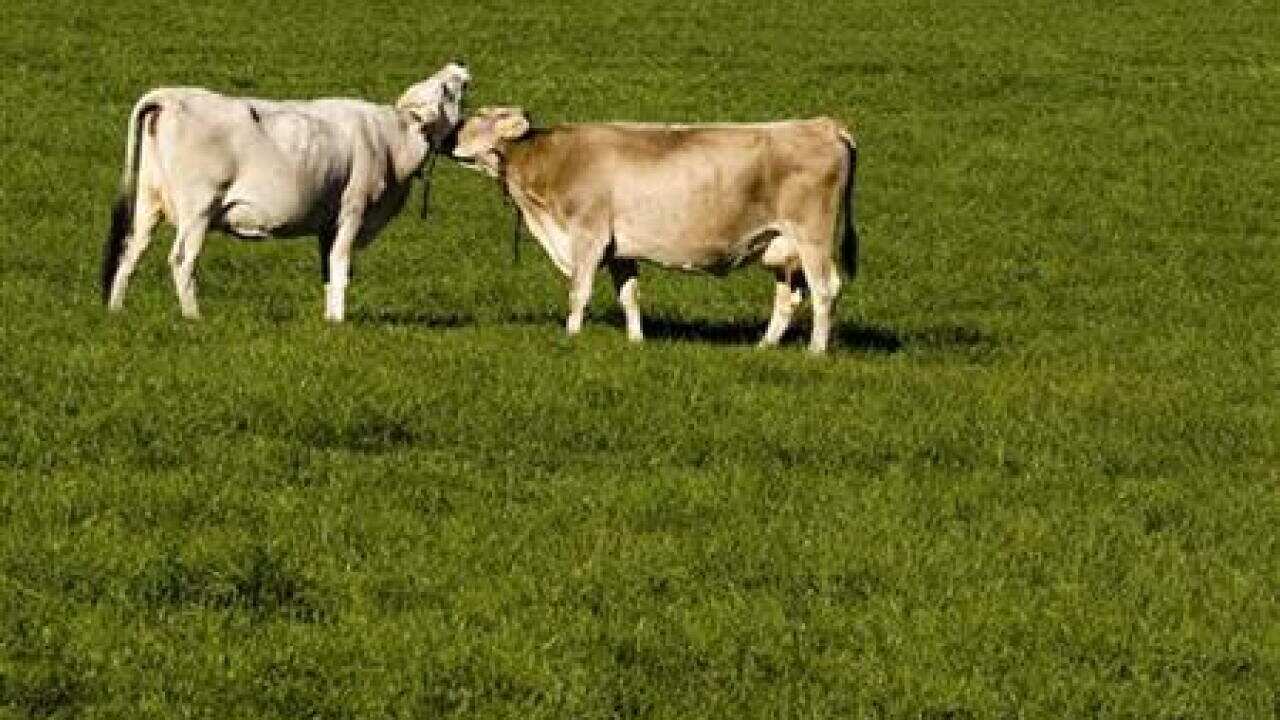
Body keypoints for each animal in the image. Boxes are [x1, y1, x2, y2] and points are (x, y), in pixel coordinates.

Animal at [102, 62, 471, 321]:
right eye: (445, 89)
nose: (460, 66)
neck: (391, 140)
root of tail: (170, 96)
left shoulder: (328, 223)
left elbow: (328, 268)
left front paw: (329, 318)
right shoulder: (353, 211)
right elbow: (341, 265)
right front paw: (339, 321)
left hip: (148, 203)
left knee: (130, 250)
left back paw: (116, 310)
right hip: (198, 210)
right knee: (181, 260)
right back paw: (194, 318)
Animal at [449, 107, 858, 354]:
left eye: (480, 115)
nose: (449, 132)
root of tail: (823, 124)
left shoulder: (588, 235)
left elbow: (578, 292)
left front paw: (571, 337)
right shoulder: (619, 250)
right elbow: (629, 296)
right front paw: (636, 342)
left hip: (813, 237)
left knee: (824, 290)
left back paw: (816, 351)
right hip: (782, 247)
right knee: (789, 298)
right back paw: (764, 347)